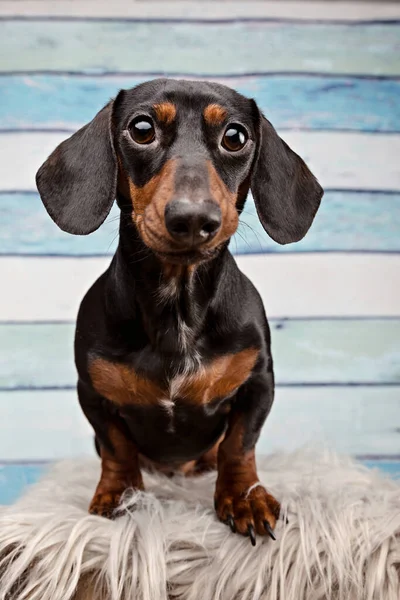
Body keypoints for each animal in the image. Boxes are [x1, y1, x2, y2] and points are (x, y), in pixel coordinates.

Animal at [36, 78, 324, 544]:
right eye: (141, 129)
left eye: (235, 136)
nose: (192, 218)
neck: (177, 308)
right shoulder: (93, 392)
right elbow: (116, 448)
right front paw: (119, 495)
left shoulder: (258, 382)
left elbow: (239, 445)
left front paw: (243, 497)